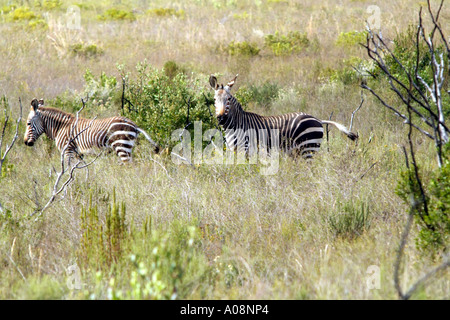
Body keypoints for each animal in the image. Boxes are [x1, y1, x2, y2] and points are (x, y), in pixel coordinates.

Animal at [24, 99, 160, 164]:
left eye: (28, 123)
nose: (26, 142)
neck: (60, 127)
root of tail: (135, 125)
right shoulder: (78, 154)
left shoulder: (68, 151)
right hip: (127, 147)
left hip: (122, 146)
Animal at [208, 75, 358, 158]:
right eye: (215, 100)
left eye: (228, 99)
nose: (221, 119)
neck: (235, 125)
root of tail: (318, 119)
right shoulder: (235, 150)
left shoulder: (246, 149)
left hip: (308, 148)